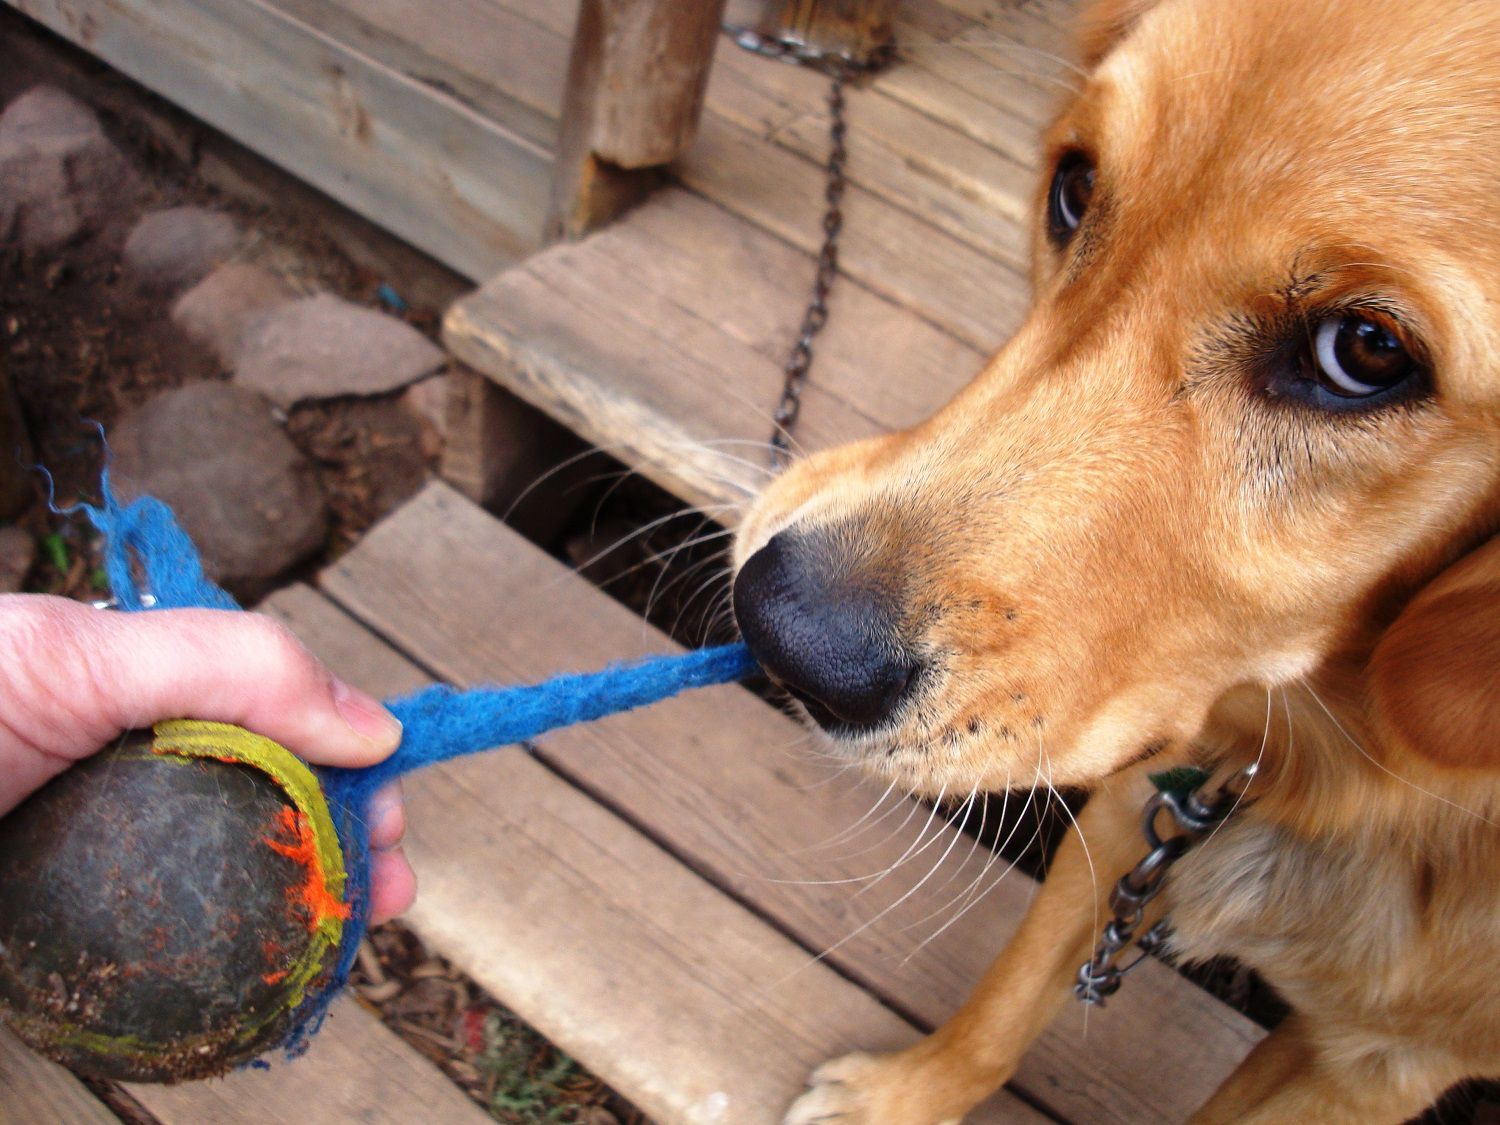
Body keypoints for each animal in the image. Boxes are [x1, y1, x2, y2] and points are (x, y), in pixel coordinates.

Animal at [735, 4, 1500, 1122]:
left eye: (1365, 350)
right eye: (1076, 187)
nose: (782, 634)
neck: (1355, 778)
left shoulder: (1370, 1064)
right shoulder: (1139, 786)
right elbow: (1002, 1008)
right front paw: (903, 1095)